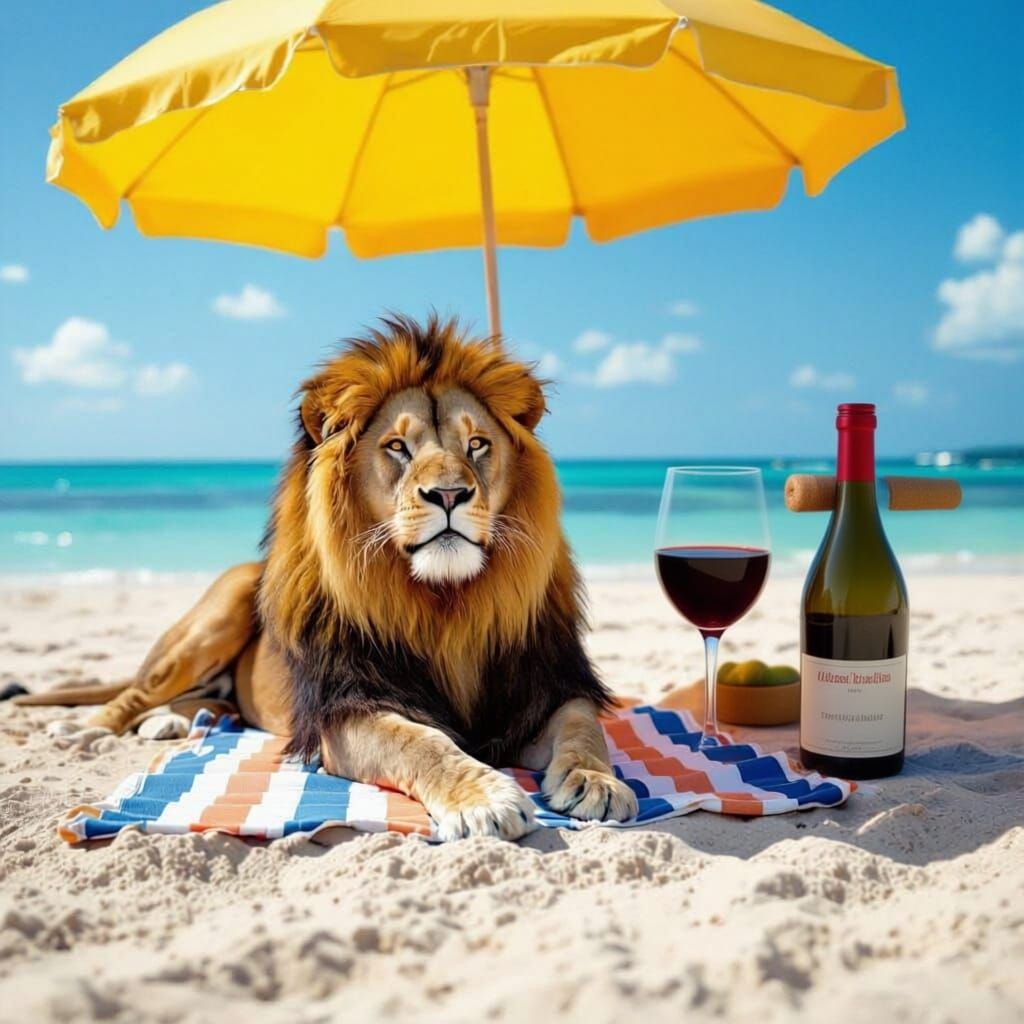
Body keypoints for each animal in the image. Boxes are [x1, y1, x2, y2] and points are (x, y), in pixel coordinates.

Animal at [16, 315, 638, 840]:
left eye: (477, 444)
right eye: (397, 446)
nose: (449, 495)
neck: (446, 604)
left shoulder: (547, 688)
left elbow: (584, 726)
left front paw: (598, 782)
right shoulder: (347, 708)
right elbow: (424, 743)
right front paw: (484, 797)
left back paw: (168, 724)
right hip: (219, 612)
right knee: (136, 692)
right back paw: (89, 729)